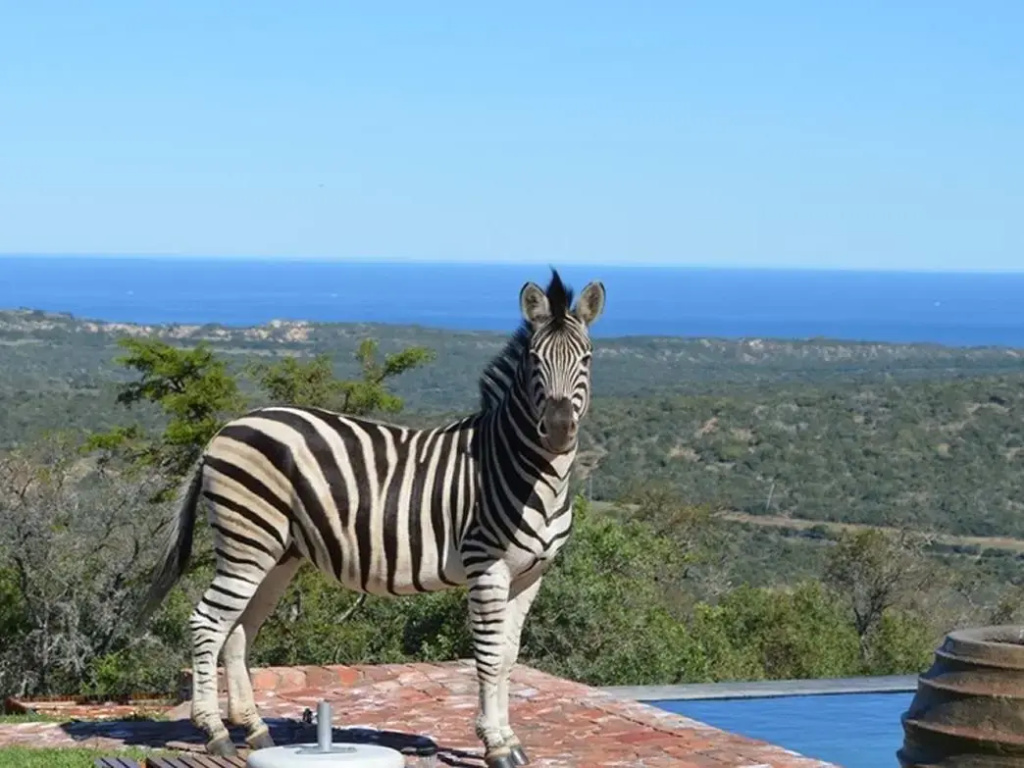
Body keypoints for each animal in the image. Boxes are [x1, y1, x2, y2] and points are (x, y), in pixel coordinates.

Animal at [137, 269, 605, 768]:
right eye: (535, 360)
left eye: (587, 358)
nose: (558, 431)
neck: (526, 472)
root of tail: (223, 430)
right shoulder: (486, 566)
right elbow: (490, 656)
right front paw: (495, 744)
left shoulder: (531, 574)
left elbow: (510, 656)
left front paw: (510, 740)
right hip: (247, 543)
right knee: (207, 623)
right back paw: (216, 733)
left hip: (276, 554)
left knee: (238, 631)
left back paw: (256, 730)